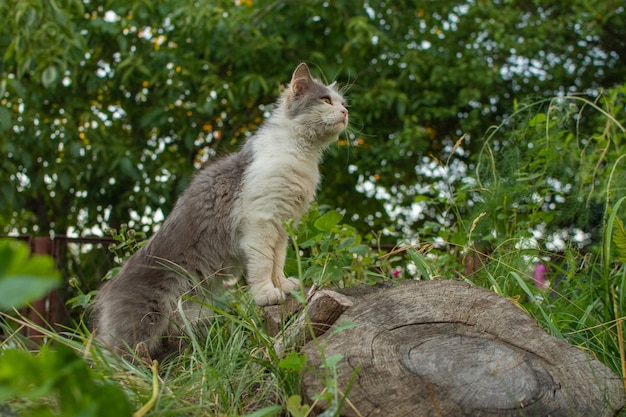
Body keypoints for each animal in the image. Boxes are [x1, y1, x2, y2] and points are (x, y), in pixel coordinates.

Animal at [92, 63, 346, 360]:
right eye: (325, 100)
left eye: (342, 102)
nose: (345, 113)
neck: (300, 152)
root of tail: (109, 287)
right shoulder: (261, 222)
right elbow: (263, 264)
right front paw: (266, 293)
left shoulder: (282, 226)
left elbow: (277, 262)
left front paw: (282, 286)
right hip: (139, 330)